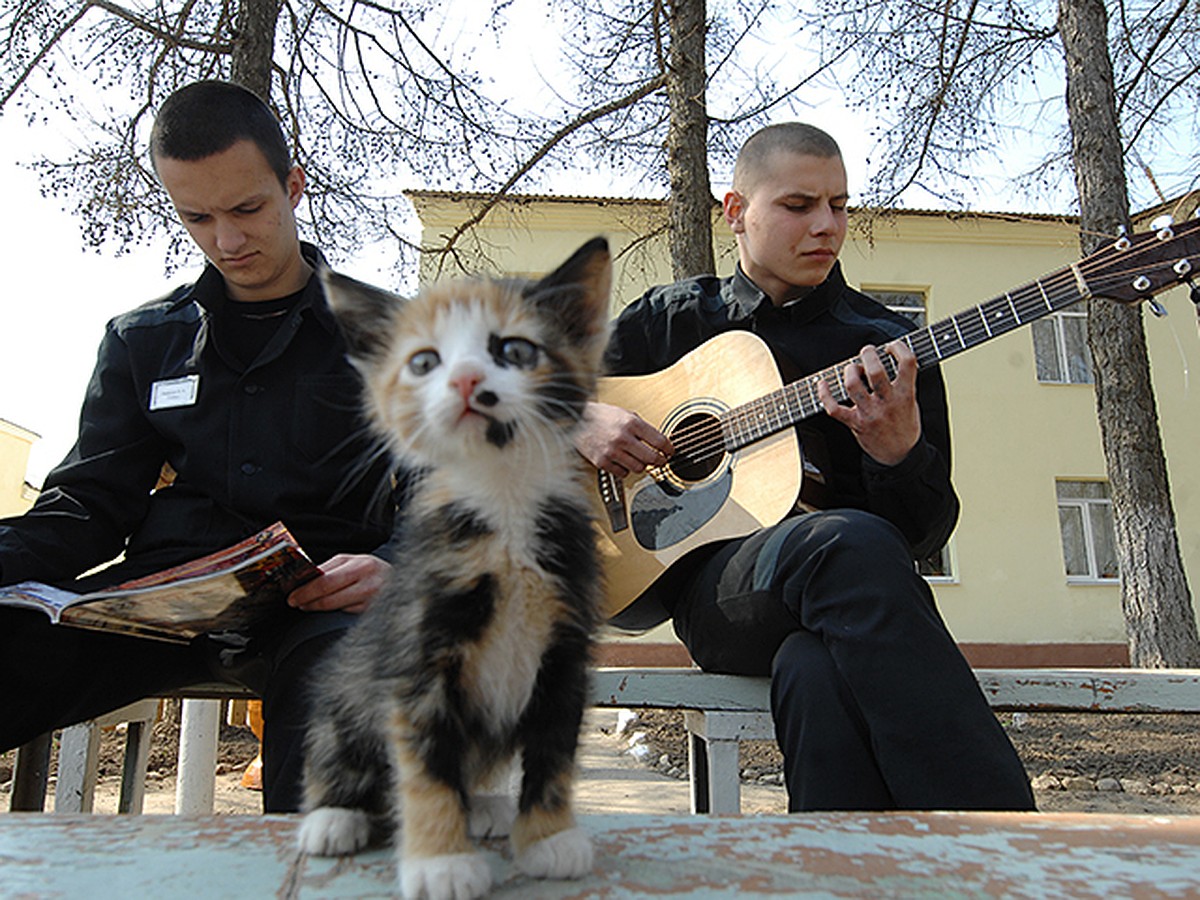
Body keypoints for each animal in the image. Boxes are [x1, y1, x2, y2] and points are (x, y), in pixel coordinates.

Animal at [291, 236, 609, 897]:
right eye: (423, 363)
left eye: (514, 350)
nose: (465, 379)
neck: (503, 497)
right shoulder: (416, 651)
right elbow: (427, 767)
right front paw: (440, 861)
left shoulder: (567, 650)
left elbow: (553, 752)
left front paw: (548, 838)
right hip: (342, 691)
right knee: (336, 751)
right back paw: (332, 817)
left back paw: (485, 806)